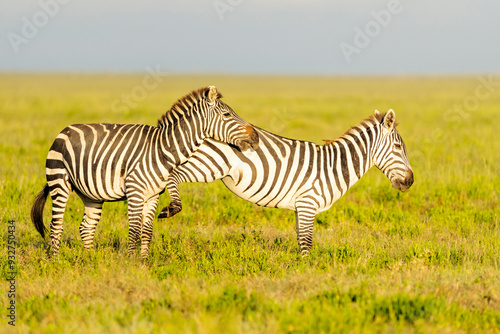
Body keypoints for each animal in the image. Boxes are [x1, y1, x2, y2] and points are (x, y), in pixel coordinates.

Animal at [29, 85, 260, 258]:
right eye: (227, 114)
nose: (256, 136)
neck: (163, 150)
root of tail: (65, 130)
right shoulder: (135, 192)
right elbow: (134, 230)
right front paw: (131, 263)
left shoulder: (153, 195)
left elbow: (147, 231)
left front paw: (144, 261)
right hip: (59, 181)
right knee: (56, 225)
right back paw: (56, 261)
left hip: (90, 194)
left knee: (86, 227)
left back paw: (89, 260)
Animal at [157, 108, 414, 258]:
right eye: (398, 147)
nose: (410, 181)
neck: (334, 165)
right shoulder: (309, 202)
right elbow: (307, 242)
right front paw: (309, 274)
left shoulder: (302, 206)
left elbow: (301, 239)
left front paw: (301, 269)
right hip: (205, 165)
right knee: (171, 175)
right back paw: (171, 208)